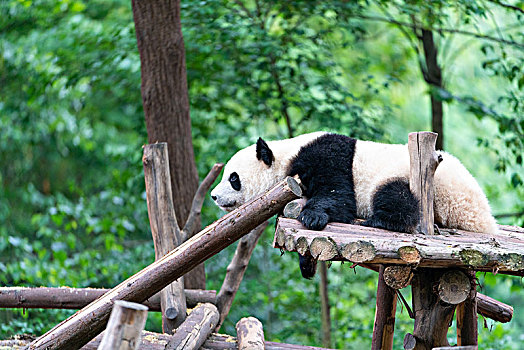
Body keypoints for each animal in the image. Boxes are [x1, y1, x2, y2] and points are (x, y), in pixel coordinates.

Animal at [211, 133, 498, 278]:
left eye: (233, 178)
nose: (213, 196)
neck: (286, 156)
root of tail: (483, 216)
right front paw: (306, 264)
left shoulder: (327, 156)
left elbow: (339, 196)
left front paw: (313, 216)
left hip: (424, 183)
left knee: (398, 200)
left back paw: (377, 220)